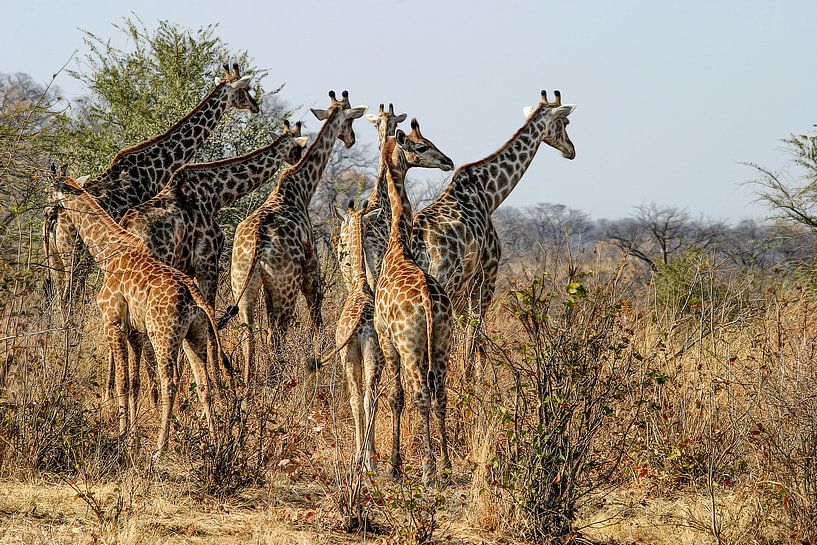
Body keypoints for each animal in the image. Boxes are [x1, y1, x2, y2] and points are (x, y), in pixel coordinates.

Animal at [43, 64, 258, 302]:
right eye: (245, 89)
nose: (255, 106)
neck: (160, 164)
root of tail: (52, 216)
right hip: (74, 254)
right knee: (68, 295)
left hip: (55, 257)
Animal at [49, 168, 226, 456]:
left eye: (51, 188)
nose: (50, 212)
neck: (108, 253)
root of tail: (193, 293)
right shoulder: (136, 331)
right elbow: (134, 382)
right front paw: (132, 438)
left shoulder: (113, 322)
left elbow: (122, 382)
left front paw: (122, 437)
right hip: (194, 334)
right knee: (203, 383)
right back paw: (215, 442)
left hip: (164, 335)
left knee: (170, 383)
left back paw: (160, 448)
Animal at [220, 90, 366, 386]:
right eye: (349, 120)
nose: (351, 139)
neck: (301, 188)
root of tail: (257, 243)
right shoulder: (312, 272)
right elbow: (317, 321)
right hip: (286, 285)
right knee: (278, 332)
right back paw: (276, 380)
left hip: (243, 282)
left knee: (250, 331)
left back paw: (249, 381)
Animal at [408, 90, 572, 378]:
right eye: (565, 123)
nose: (571, 150)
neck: (490, 193)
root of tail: (419, 238)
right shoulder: (486, 275)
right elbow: (473, 337)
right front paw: (469, 380)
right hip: (445, 283)